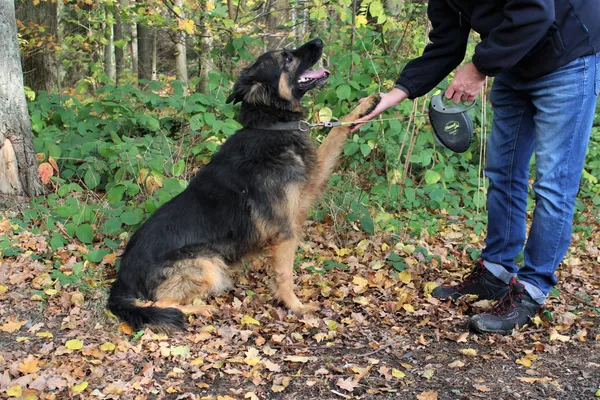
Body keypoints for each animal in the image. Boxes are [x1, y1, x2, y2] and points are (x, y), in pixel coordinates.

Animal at [106, 39, 380, 330]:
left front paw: (365, 105)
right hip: (207, 262)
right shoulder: (285, 233)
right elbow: (285, 275)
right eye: (286, 57)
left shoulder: (314, 180)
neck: (270, 126)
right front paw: (296, 306)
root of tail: (122, 277)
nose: (318, 41)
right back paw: (201, 309)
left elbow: (337, 129)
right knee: (160, 304)